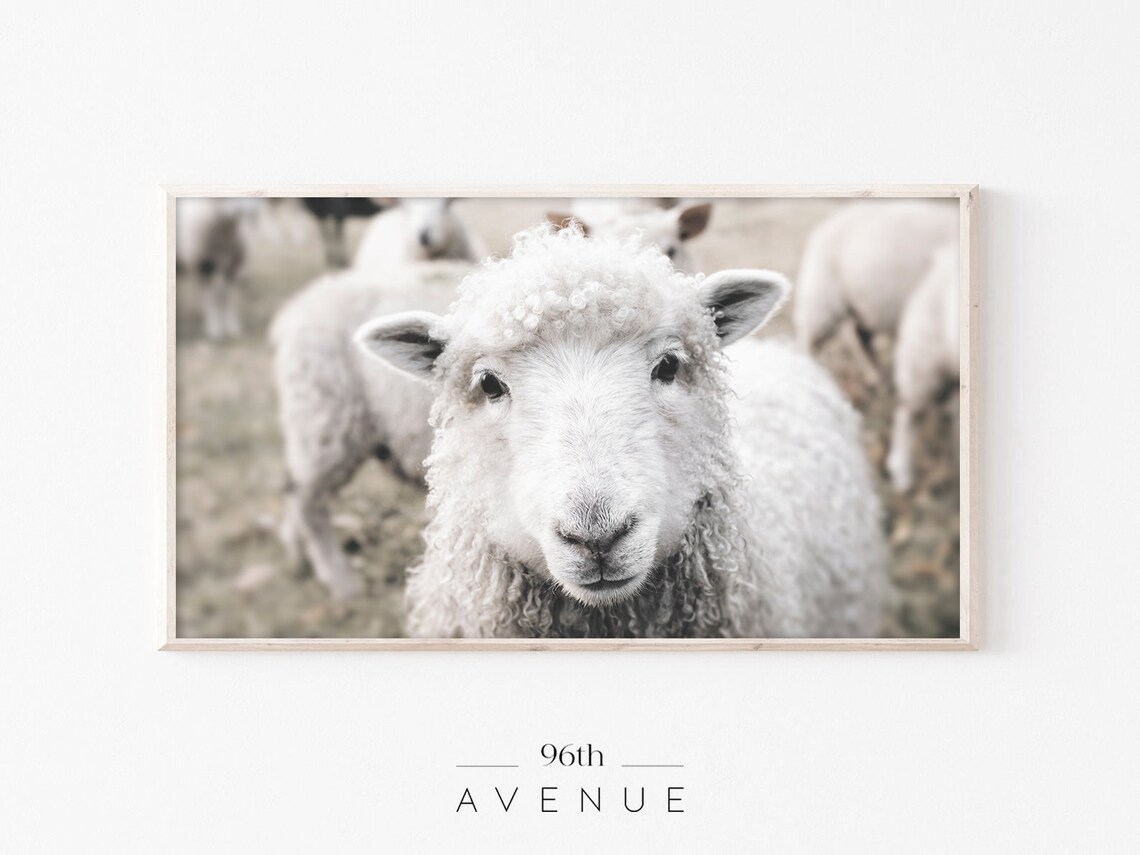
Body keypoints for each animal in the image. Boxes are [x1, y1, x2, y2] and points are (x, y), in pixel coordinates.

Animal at [176, 197, 262, 341]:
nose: (254, 210)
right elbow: (211, 297)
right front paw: (214, 329)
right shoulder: (203, 265)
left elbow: (227, 297)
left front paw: (232, 328)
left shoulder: (230, 267)